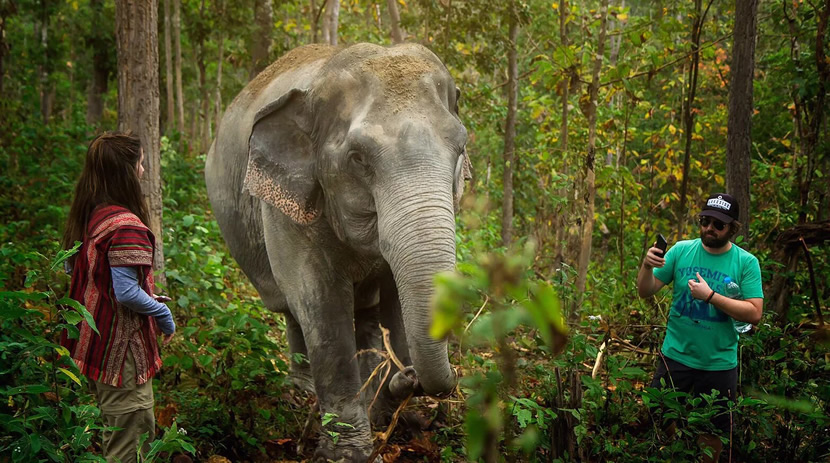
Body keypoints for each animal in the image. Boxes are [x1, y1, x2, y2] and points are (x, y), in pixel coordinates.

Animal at [205, 43, 470, 461]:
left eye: (461, 147)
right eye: (358, 158)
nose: (409, 375)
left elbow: (395, 303)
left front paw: (386, 416)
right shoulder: (286, 204)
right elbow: (322, 303)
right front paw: (348, 453)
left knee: (367, 315)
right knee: (291, 309)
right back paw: (302, 391)